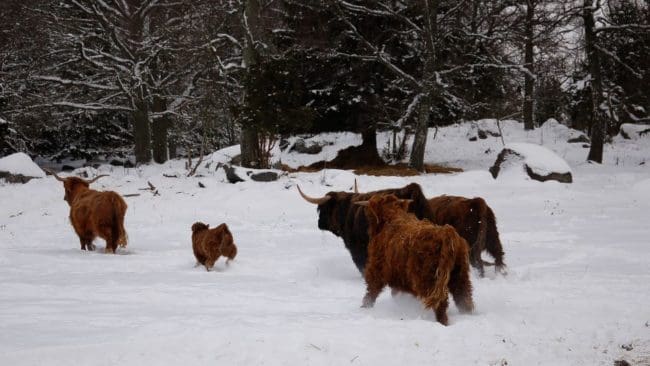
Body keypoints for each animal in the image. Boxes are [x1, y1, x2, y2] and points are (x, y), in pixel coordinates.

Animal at [356, 194, 474, 326]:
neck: (390, 218)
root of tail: (446, 232)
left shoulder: (376, 268)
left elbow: (371, 291)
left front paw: (365, 307)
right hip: (460, 275)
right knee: (464, 297)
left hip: (430, 280)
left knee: (441, 303)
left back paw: (442, 322)